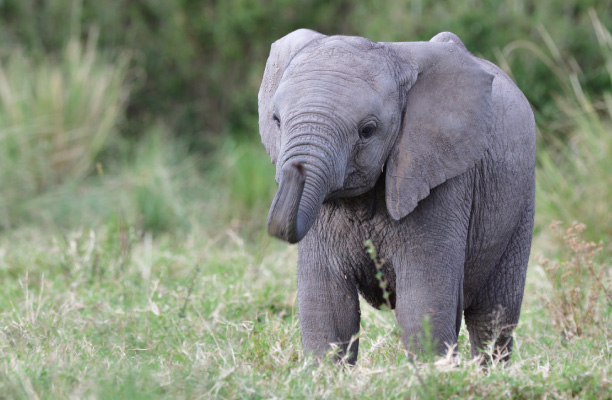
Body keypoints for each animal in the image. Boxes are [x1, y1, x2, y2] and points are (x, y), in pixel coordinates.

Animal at [258, 29, 536, 364]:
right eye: (276, 120)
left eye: (367, 130)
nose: (296, 168)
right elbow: (328, 307)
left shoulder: (443, 181)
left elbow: (423, 304)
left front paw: (431, 373)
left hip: (522, 199)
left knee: (493, 318)